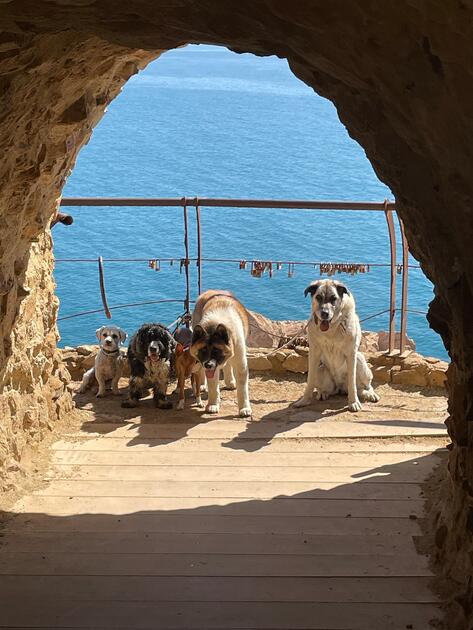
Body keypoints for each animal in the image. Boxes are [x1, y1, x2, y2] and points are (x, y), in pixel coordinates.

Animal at [190, 292, 253, 420]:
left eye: (216, 350)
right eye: (203, 350)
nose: (208, 365)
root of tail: (210, 291)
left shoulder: (240, 363)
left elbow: (242, 387)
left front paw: (244, 408)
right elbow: (213, 385)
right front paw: (213, 405)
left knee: (228, 365)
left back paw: (230, 382)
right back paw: (202, 385)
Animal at [294, 282, 378, 414]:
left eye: (333, 298)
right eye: (318, 297)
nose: (324, 313)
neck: (331, 329)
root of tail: (340, 387)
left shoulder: (351, 353)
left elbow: (352, 384)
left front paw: (353, 402)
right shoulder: (314, 352)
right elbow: (310, 380)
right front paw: (304, 400)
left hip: (360, 361)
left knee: (364, 386)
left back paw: (370, 394)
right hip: (321, 368)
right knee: (328, 389)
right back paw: (323, 393)